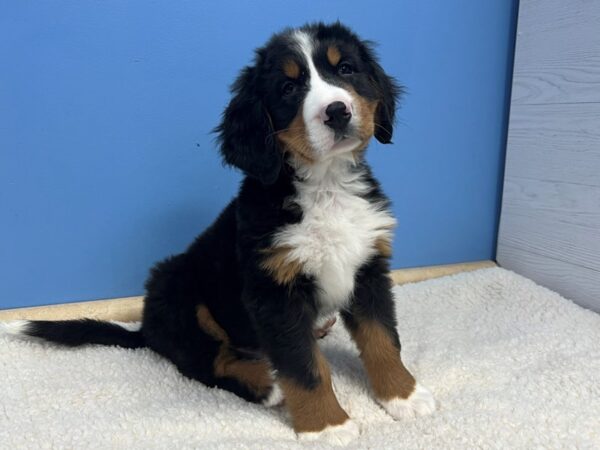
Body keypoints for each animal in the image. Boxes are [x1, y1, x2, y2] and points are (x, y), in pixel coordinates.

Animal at [8, 22, 436, 444]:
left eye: (345, 69)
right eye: (288, 89)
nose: (336, 111)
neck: (325, 187)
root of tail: (145, 328)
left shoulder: (368, 267)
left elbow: (382, 339)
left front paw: (404, 396)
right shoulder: (273, 292)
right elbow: (304, 367)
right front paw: (326, 426)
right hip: (177, 287)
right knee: (204, 361)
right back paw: (267, 385)